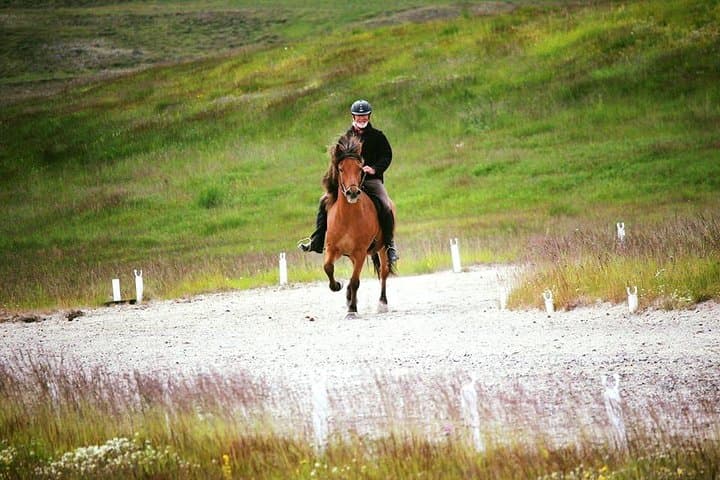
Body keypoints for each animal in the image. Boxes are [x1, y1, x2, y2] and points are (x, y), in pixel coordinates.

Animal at [322, 133, 394, 318]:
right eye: (340, 169)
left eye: (360, 169)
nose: (353, 193)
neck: (348, 218)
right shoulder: (333, 249)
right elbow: (328, 268)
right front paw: (337, 286)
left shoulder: (360, 252)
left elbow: (355, 281)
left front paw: (352, 310)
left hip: (382, 248)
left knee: (384, 273)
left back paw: (382, 304)